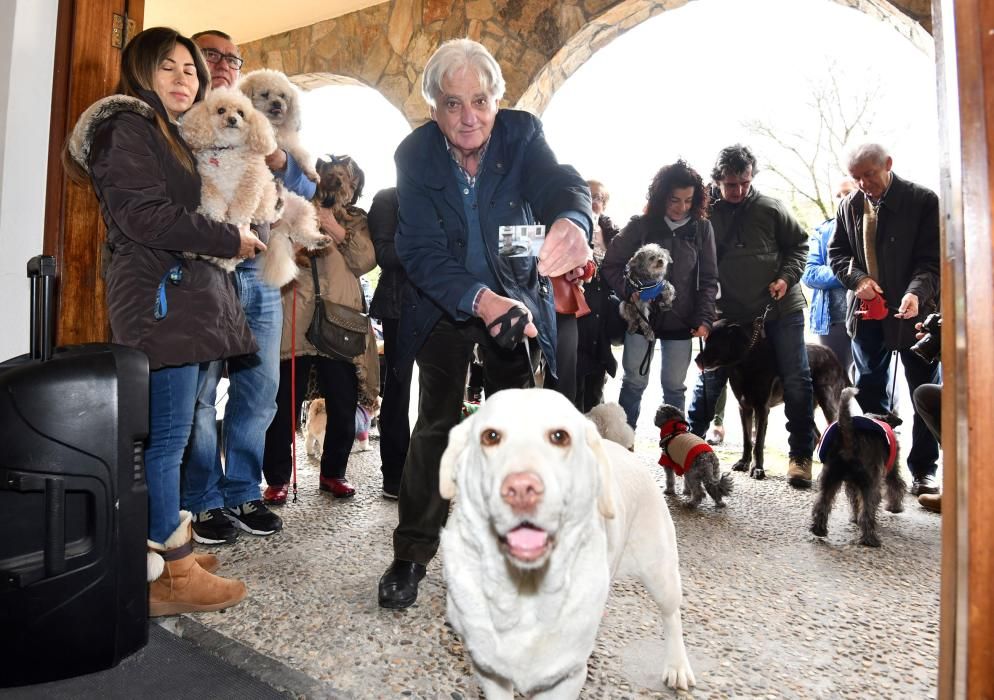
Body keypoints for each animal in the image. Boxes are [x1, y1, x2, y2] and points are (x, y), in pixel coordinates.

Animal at [438, 386, 692, 696]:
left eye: (560, 437)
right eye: (491, 436)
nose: (521, 489)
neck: (525, 587)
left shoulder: (566, 675)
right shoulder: (488, 668)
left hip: (660, 573)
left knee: (672, 616)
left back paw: (678, 667)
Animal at [696, 320, 844, 478]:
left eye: (715, 342)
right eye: (706, 340)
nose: (696, 359)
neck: (746, 364)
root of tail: (831, 353)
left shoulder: (762, 408)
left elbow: (758, 442)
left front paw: (757, 468)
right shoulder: (744, 407)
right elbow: (747, 439)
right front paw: (743, 463)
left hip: (828, 402)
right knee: (816, 434)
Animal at [808, 388, 904, 548]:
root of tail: (850, 437)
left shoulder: (852, 484)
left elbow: (854, 501)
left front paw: (854, 518)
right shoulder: (891, 470)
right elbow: (896, 486)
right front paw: (895, 507)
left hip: (830, 477)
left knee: (822, 503)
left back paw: (818, 529)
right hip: (871, 485)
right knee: (867, 511)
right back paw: (870, 539)